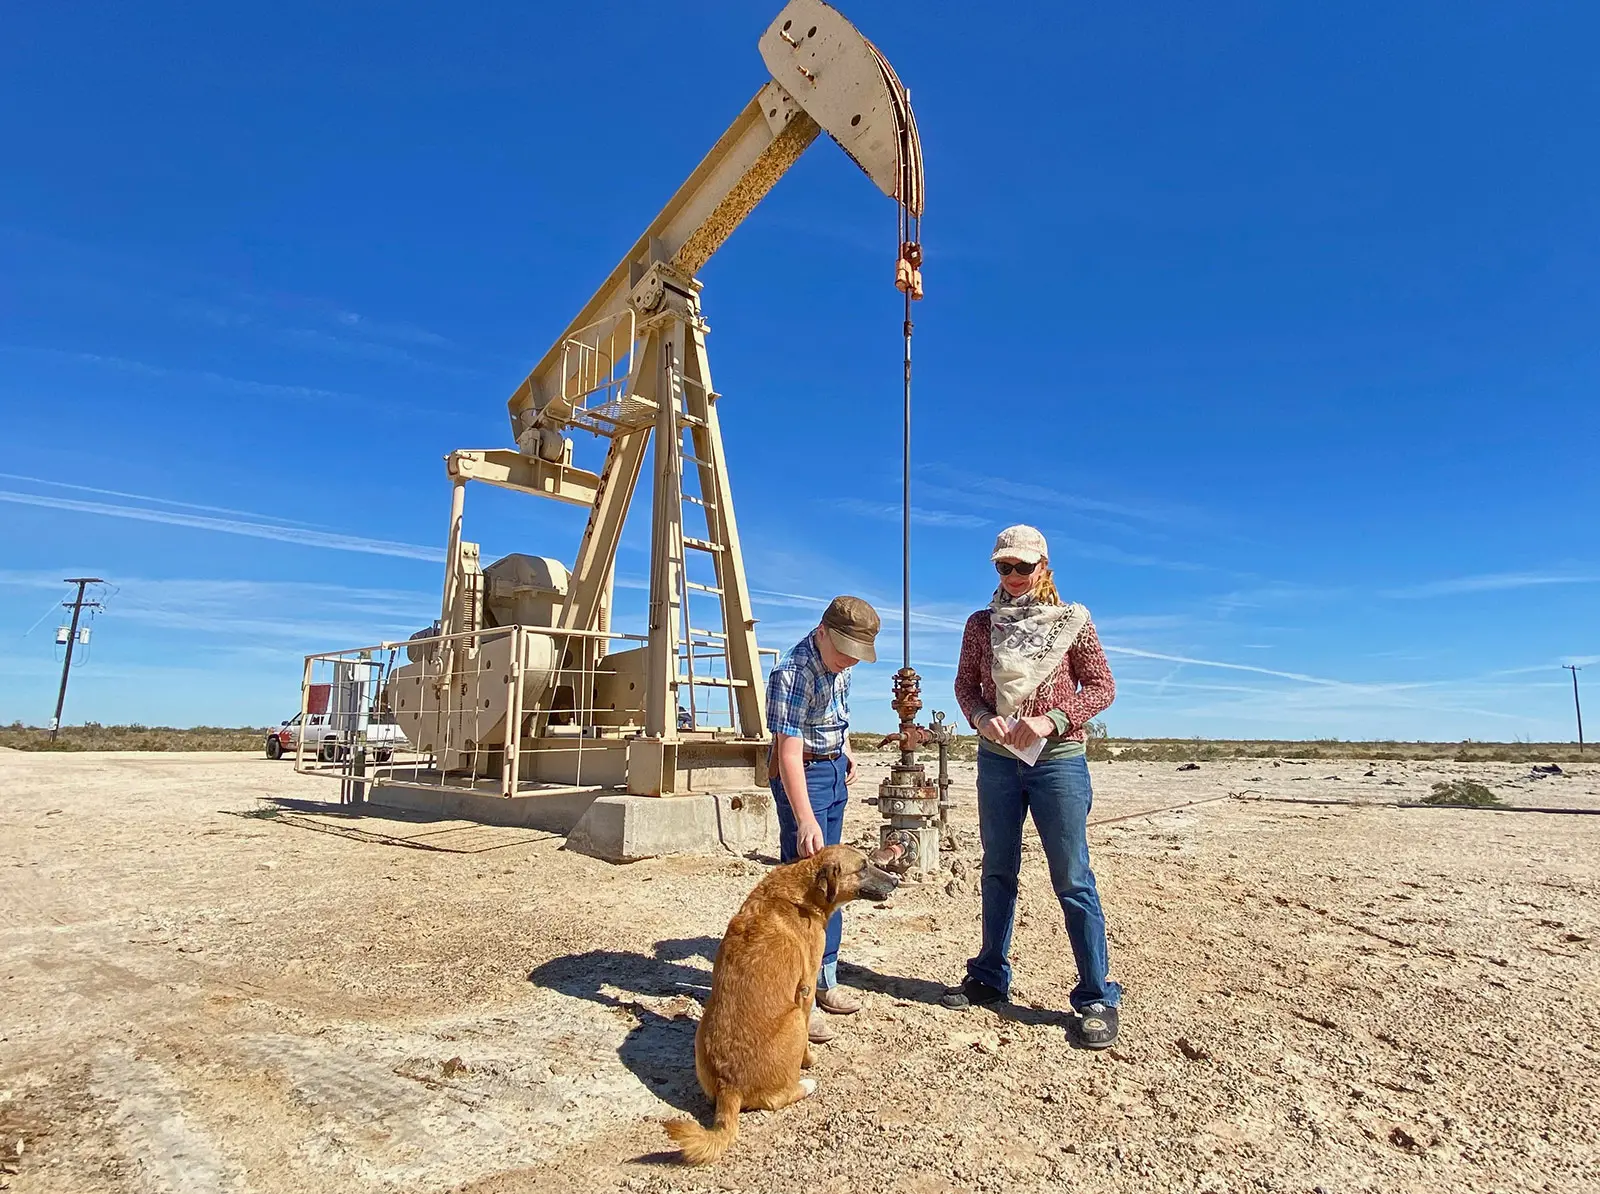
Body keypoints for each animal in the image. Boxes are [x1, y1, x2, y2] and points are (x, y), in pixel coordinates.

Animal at [665, 845, 908, 1158]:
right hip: (792, 1018)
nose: (896, 881)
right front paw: (810, 1061)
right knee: (777, 1098)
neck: (802, 891)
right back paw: (806, 1084)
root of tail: (728, 1085)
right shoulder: (806, 987)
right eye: (863, 867)